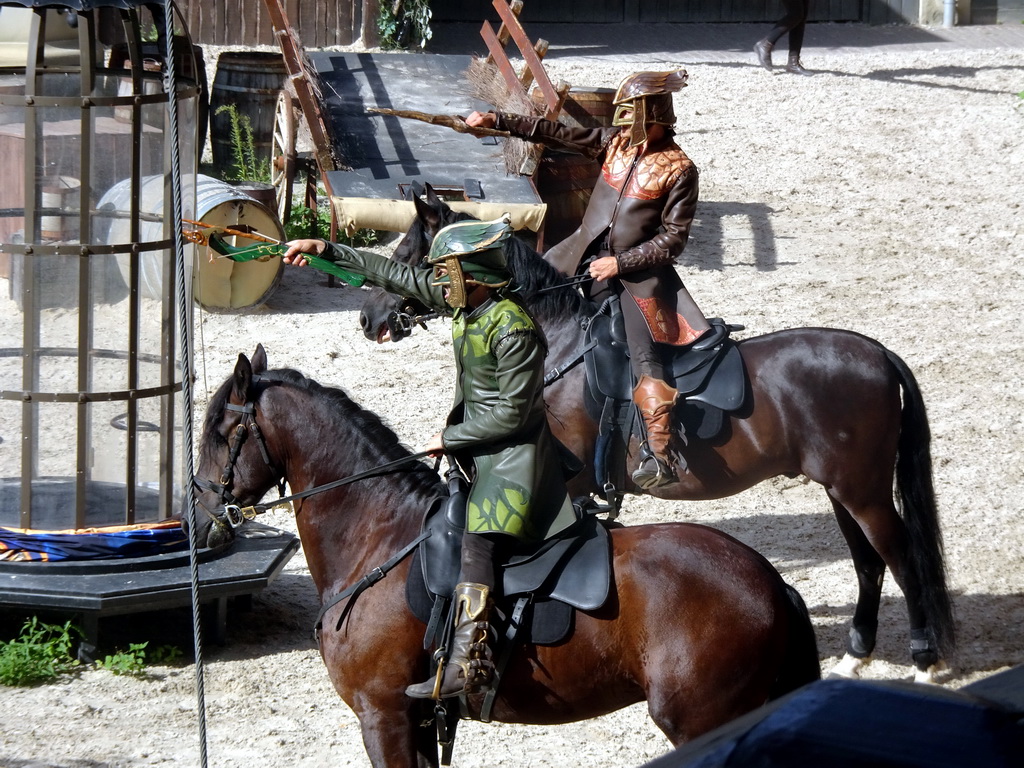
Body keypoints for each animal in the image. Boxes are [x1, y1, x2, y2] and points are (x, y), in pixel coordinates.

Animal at [195, 348, 823, 768]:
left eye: (220, 430)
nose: (200, 522)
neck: (378, 536)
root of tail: (770, 581)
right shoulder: (414, 722)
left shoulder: (384, 715)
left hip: (700, 723)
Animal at [356, 189, 954, 684]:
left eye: (411, 254)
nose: (367, 317)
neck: (556, 347)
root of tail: (877, 353)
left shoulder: (562, 489)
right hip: (842, 489)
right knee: (869, 562)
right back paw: (857, 653)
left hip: (863, 490)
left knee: (901, 557)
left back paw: (926, 660)